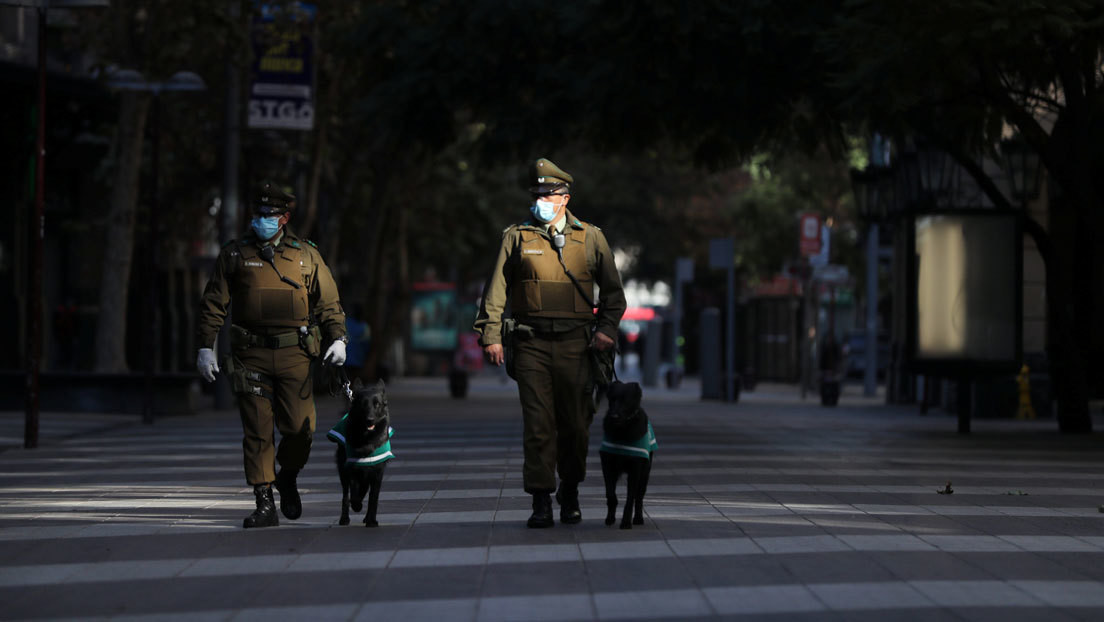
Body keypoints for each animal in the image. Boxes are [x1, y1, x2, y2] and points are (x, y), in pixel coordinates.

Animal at [324, 377, 395, 528]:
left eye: (377, 404)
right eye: (363, 405)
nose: (370, 420)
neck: (367, 439)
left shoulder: (377, 472)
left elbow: (373, 497)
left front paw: (371, 520)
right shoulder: (352, 469)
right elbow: (354, 495)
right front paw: (357, 506)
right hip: (343, 471)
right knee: (346, 495)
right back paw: (344, 518)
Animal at [600, 380, 649, 530]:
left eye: (625, 400)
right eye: (612, 399)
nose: (613, 417)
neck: (622, 430)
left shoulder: (635, 469)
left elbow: (630, 498)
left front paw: (626, 521)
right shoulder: (607, 465)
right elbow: (610, 494)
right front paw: (610, 518)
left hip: (645, 473)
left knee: (639, 497)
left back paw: (638, 518)